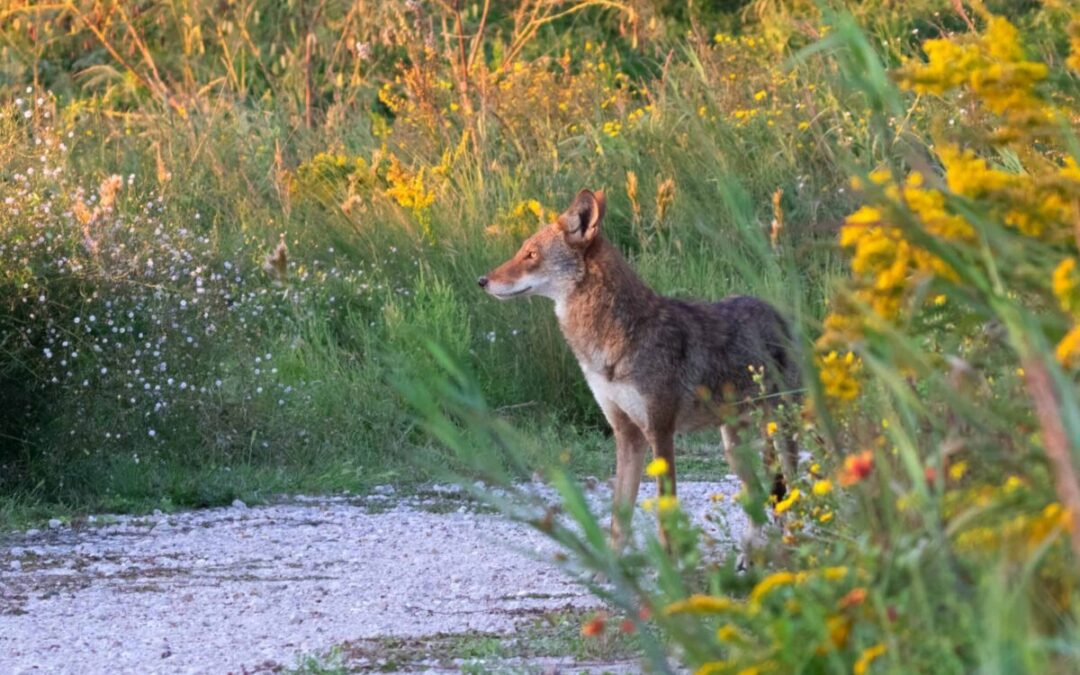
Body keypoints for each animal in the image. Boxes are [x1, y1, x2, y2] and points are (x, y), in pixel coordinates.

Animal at [479, 189, 801, 547]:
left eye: (531, 254)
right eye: (522, 251)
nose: (482, 280)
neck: (616, 338)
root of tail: (776, 312)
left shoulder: (660, 432)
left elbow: (665, 519)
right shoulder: (627, 435)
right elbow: (619, 522)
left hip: (779, 434)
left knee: (791, 496)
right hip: (733, 448)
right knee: (759, 500)